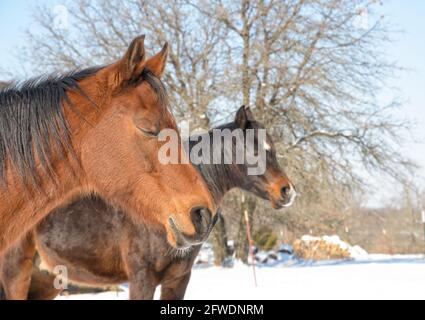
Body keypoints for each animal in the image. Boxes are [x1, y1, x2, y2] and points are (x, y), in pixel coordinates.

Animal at [0, 107, 294, 300]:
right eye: (254, 150)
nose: (287, 191)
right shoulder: (142, 279)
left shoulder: (178, 279)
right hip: (17, 275)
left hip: (45, 280)